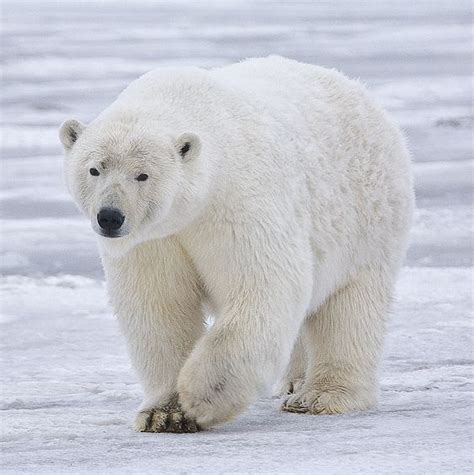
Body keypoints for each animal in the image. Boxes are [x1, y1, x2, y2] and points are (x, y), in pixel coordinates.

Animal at [60, 56, 414, 436]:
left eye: (143, 174)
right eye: (94, 169)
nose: (110, 217)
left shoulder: (237, 202)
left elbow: (262, 286)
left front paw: (201, 397)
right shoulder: (154, 240)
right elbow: (159, 307)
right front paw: (164, 414)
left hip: (367, 219)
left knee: (350, 308)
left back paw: (320, 396)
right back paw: (293, 382)